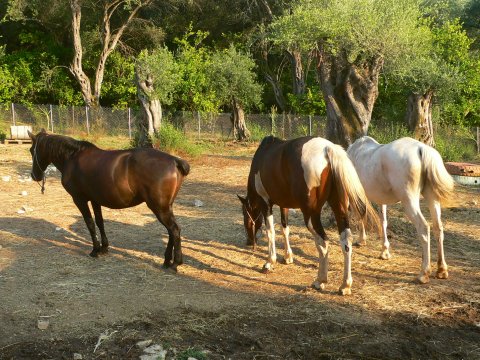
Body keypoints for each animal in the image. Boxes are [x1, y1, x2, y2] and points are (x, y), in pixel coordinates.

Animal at [27, 129, 190, 270]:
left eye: (31, 150)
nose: (35, 176)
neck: (72, 157)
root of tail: (175, 161)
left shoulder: (79, 199)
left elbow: (90, 223)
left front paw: (95, 250)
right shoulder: (95, 200)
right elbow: (100, 222)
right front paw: (104, 247)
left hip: (159, 207)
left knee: (174, 230)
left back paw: (175, 263)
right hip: (166, 206)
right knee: (172, 231)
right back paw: (167, 260)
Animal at [237, 135, 378, 296]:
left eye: (245, 216)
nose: (249, 242)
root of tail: (327, 148)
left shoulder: (265, 203)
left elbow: (271, 232)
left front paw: (269, 262)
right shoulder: (284, 204)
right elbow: (285, 229)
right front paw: (288, 256)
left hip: (311, 215)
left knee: (323, 242)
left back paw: (320, 281)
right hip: (339, 209)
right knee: (345, 241)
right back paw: (345, 285)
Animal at [348, 136, 454, 284]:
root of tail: (421, 149)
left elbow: (359, 215)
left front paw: (361, 240)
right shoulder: (381, 200)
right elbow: (383, 222)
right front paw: (384, 252)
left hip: (409, 201)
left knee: (423, 228)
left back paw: (423, 273)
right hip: (432, 198)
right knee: (438, 228)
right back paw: (441, 270)